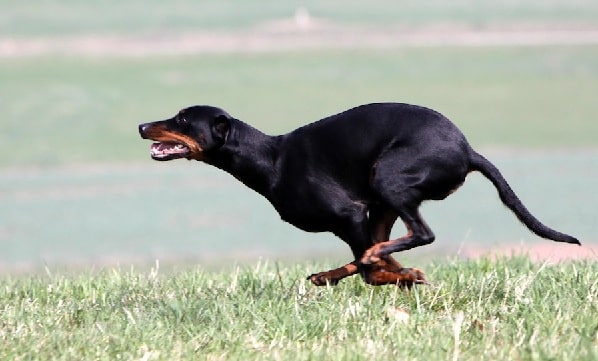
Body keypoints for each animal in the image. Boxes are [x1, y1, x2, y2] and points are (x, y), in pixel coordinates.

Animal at [139, 102, 580, 286]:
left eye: (182, 120)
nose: (142, 126)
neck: (270, 159)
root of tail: (467, 150)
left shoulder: (348, 214)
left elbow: (372, 269)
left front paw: (401, 276)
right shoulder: (357, 218)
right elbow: (373, 261)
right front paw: (400, 275)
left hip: (387, 178)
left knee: (417, 236)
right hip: (382, 199)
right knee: (381, 248)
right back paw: (339, 274)